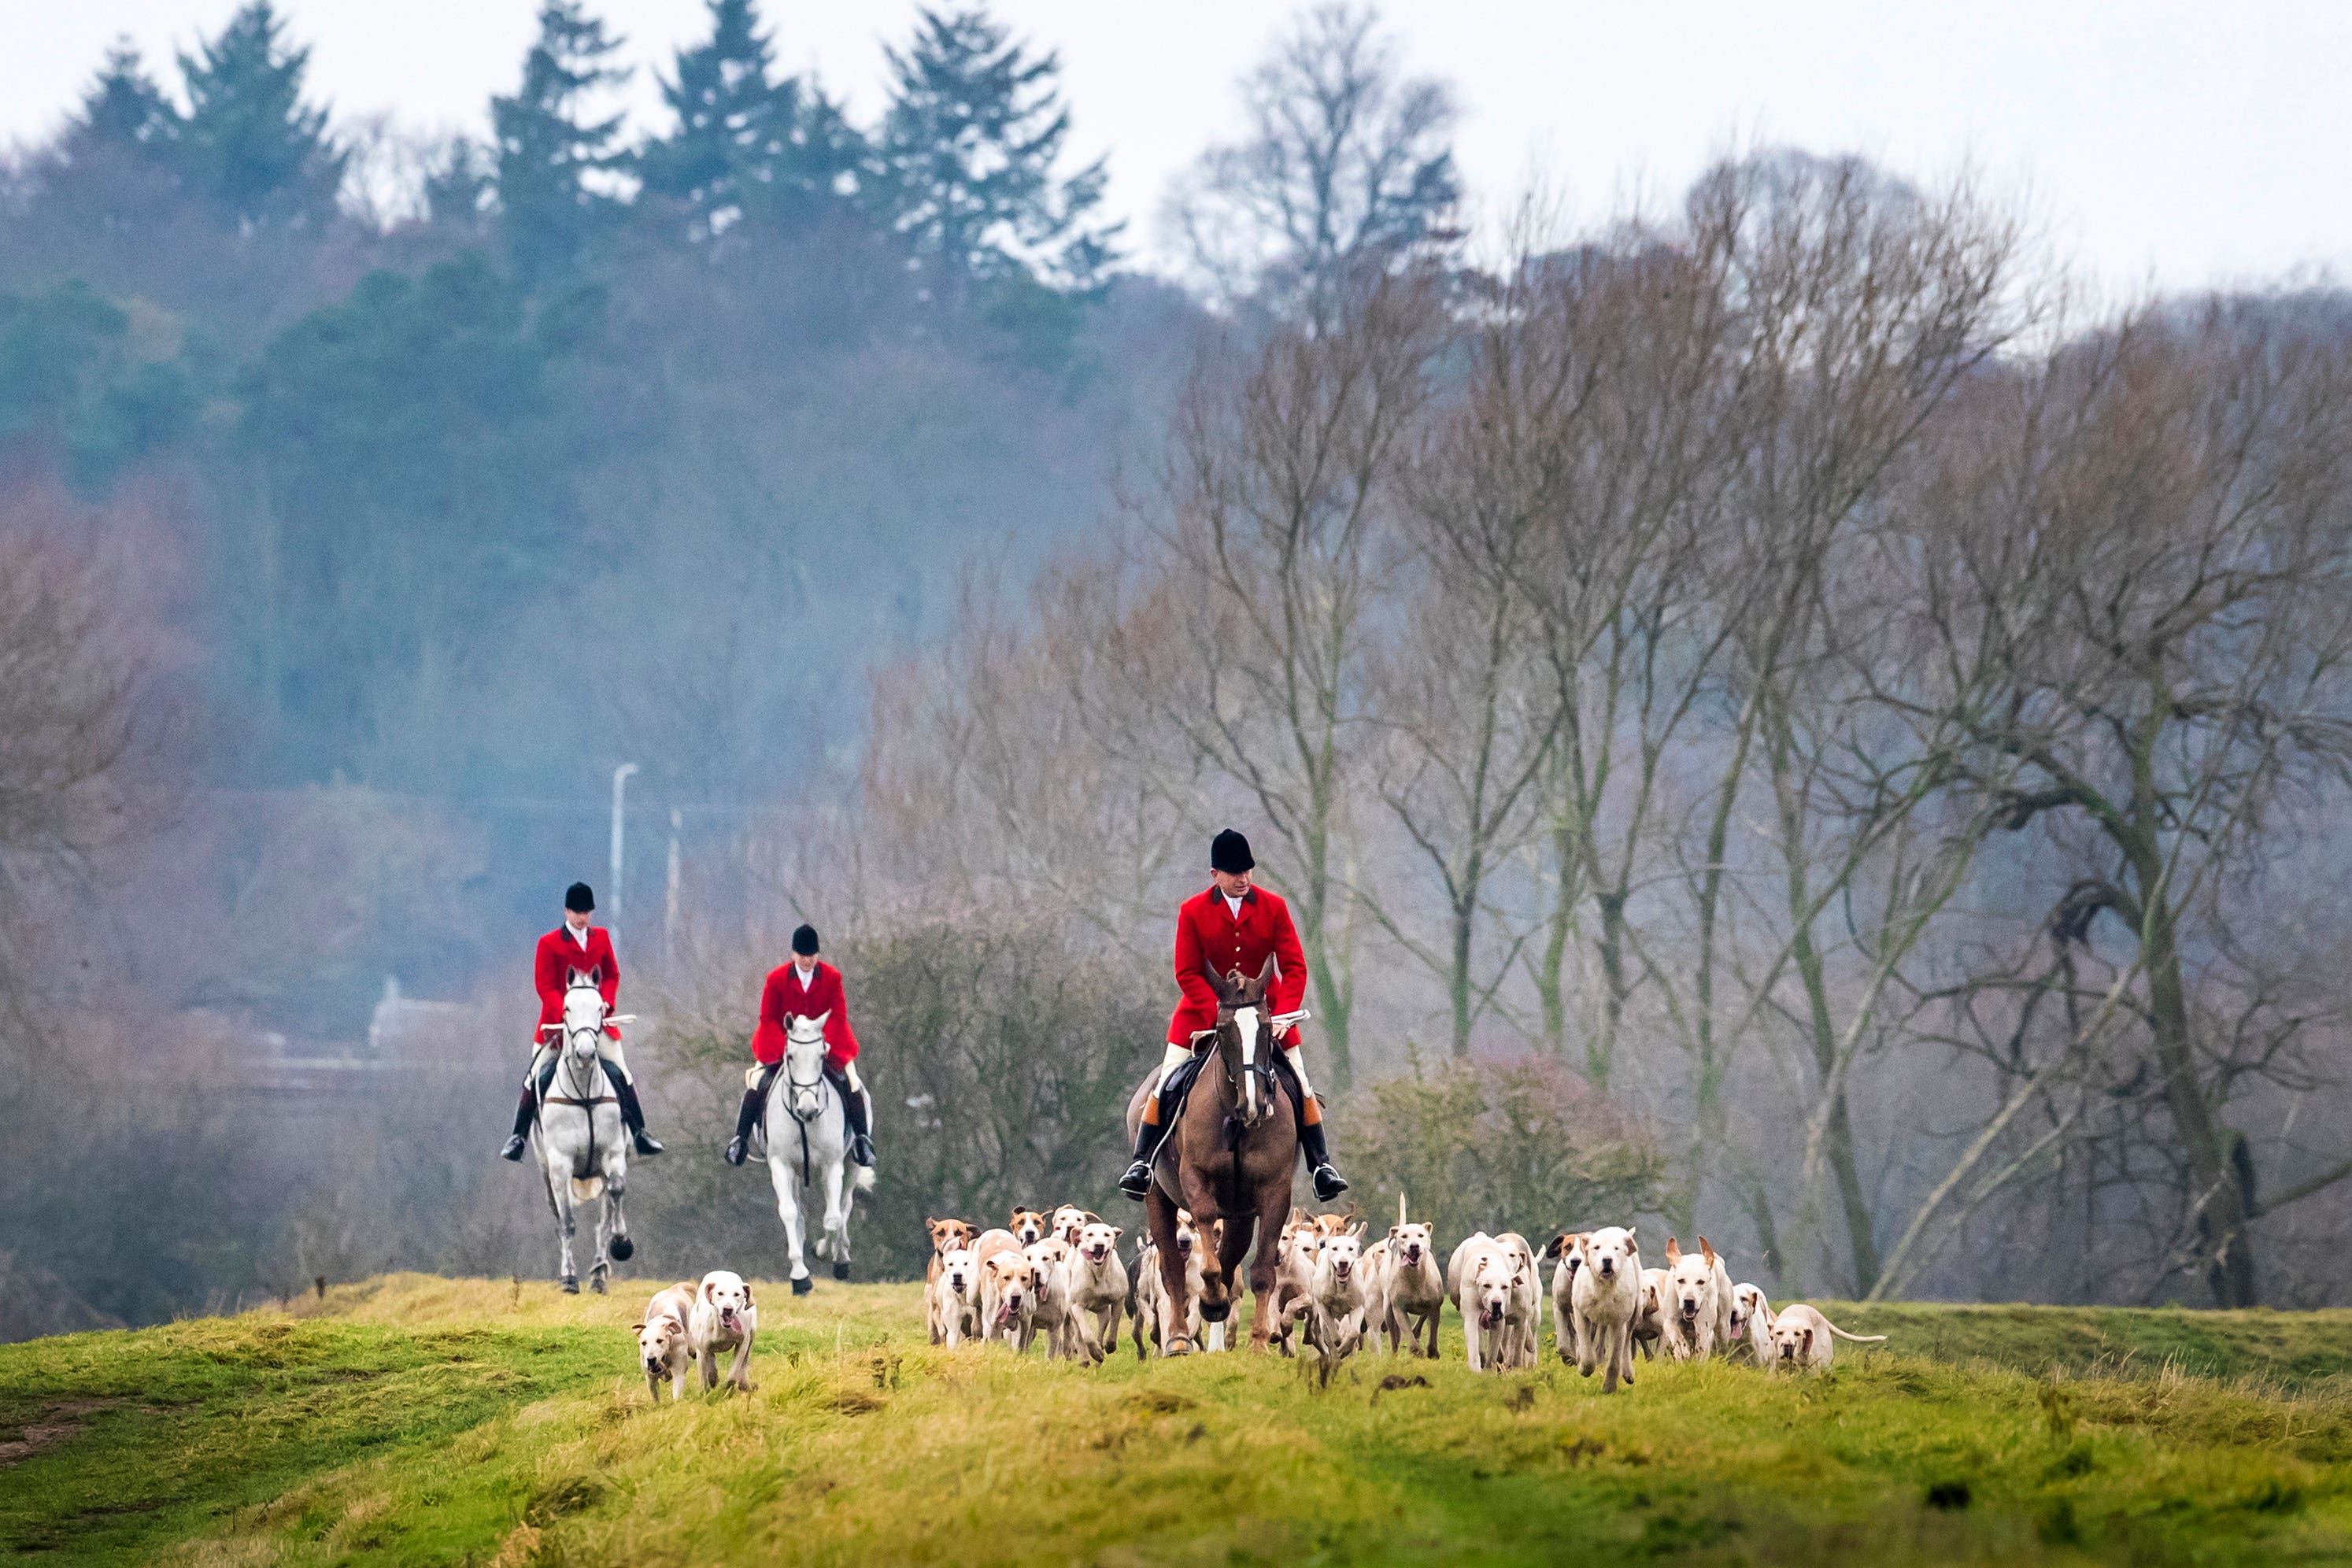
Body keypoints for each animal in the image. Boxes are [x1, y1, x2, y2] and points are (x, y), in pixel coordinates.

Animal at [534, 973, 634, 1297]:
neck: (584, 1093)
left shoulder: (613, 1155)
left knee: (604, 1218)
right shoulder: (560, 1165)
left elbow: (615, 1193)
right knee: (558, 1218)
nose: (587, 1052)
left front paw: (621, 1244)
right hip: (547, 1173)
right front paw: (569, 1280)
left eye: (601, 1008)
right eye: (566, 1008)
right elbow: (567, 1223)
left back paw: (599, 1277)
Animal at [753, 1011, 875, 1297]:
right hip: (798, 1174)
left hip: (852, 1164)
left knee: (844, 1205)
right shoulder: (781, 1166)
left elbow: (832, 1218)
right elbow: (790, 1213)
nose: (807, 1109)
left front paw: (821, 1250)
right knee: (800, 1213)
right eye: (790, 1056)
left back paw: (840, 1258)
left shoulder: (832, 1166)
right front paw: (800, 1277)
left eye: (821, 1055)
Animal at [1124, 959, 1298, 1354]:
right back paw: (1177, 1338)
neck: (1236, 1122)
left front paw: (1259, 1342)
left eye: (1267, 1026)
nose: (1253, 1104)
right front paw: (1212, 1301)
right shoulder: (1196, 1181)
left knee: (1232, 1262)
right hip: (1158, 1199)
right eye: (1222, 1029)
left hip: (1240, 1215)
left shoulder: (1274, 1192)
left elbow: (1261, 1272)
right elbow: (1206, 1260)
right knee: (1172, 1271)